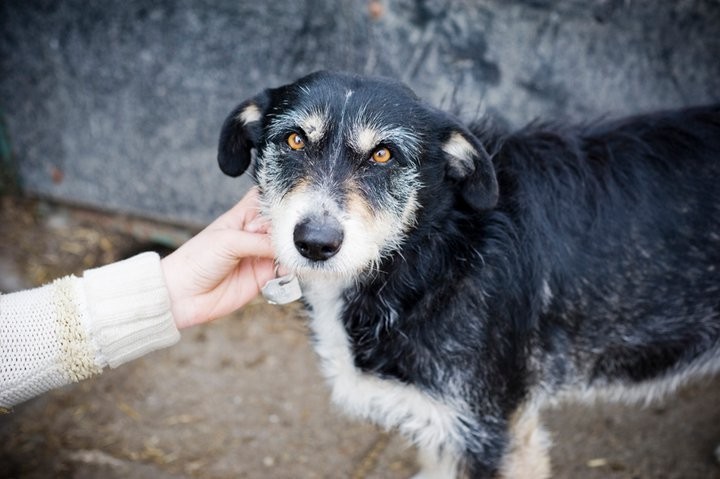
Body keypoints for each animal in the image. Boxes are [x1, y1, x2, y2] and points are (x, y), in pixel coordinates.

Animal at [215, 72, 720, 479]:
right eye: (295, 141)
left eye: (384, 154)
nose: (315, 242)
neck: (435, 249)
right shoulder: (446, 426)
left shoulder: (490, 432)